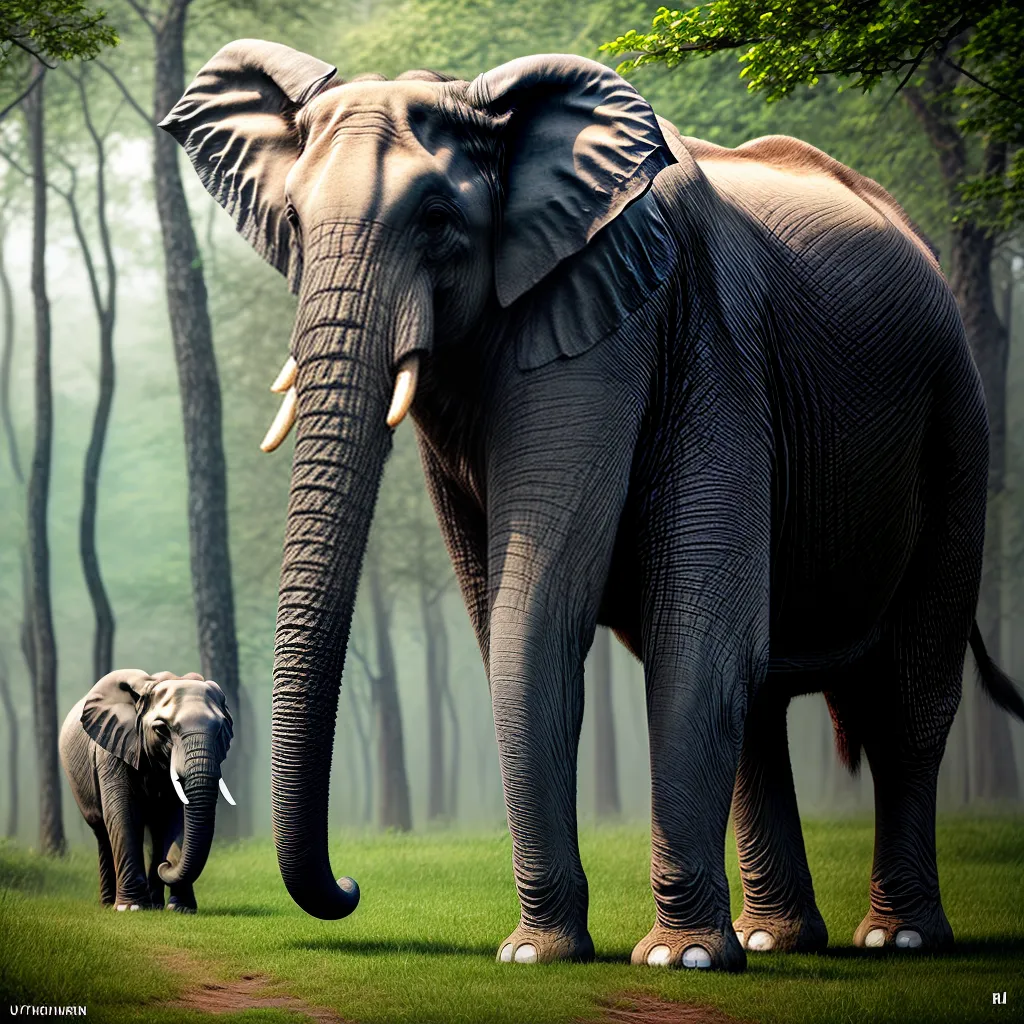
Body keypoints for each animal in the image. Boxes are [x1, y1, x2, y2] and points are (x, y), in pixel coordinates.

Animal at [59, 669, 235, 913]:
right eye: (162, 729)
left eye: (220, 730)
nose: (167, 865)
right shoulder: (112, 748)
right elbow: (124, 814)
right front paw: (131, 908)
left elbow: (177, 817)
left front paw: (182, 909)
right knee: (102, 831)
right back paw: (109, 904)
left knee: (157, 831)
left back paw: (156, 904)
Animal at [161, 42, 1024, 970]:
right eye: (289, 218)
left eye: (438, 217)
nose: (351, 887)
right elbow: (512, 618)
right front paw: (543, 953)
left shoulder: (659, 323)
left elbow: (569, 610)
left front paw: (667, 959)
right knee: (760, 697)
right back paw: (775, 940)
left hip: (959, 425)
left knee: (908, 692)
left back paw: (895, 938)